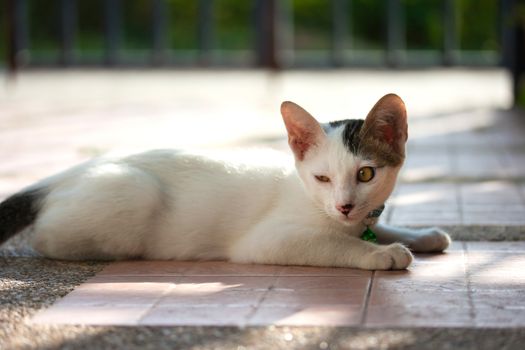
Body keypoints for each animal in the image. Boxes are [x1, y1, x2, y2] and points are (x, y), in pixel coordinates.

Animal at [0, 93, 450, 270]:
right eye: (321, 177)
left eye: (365, 173)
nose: (343, 205)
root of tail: (65, 173)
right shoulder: (268, 241)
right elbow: (336, 245)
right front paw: (381, 254)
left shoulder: (360, 217)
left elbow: (377, 226)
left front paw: (421, 235)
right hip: (133, 194)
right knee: (45, 238)